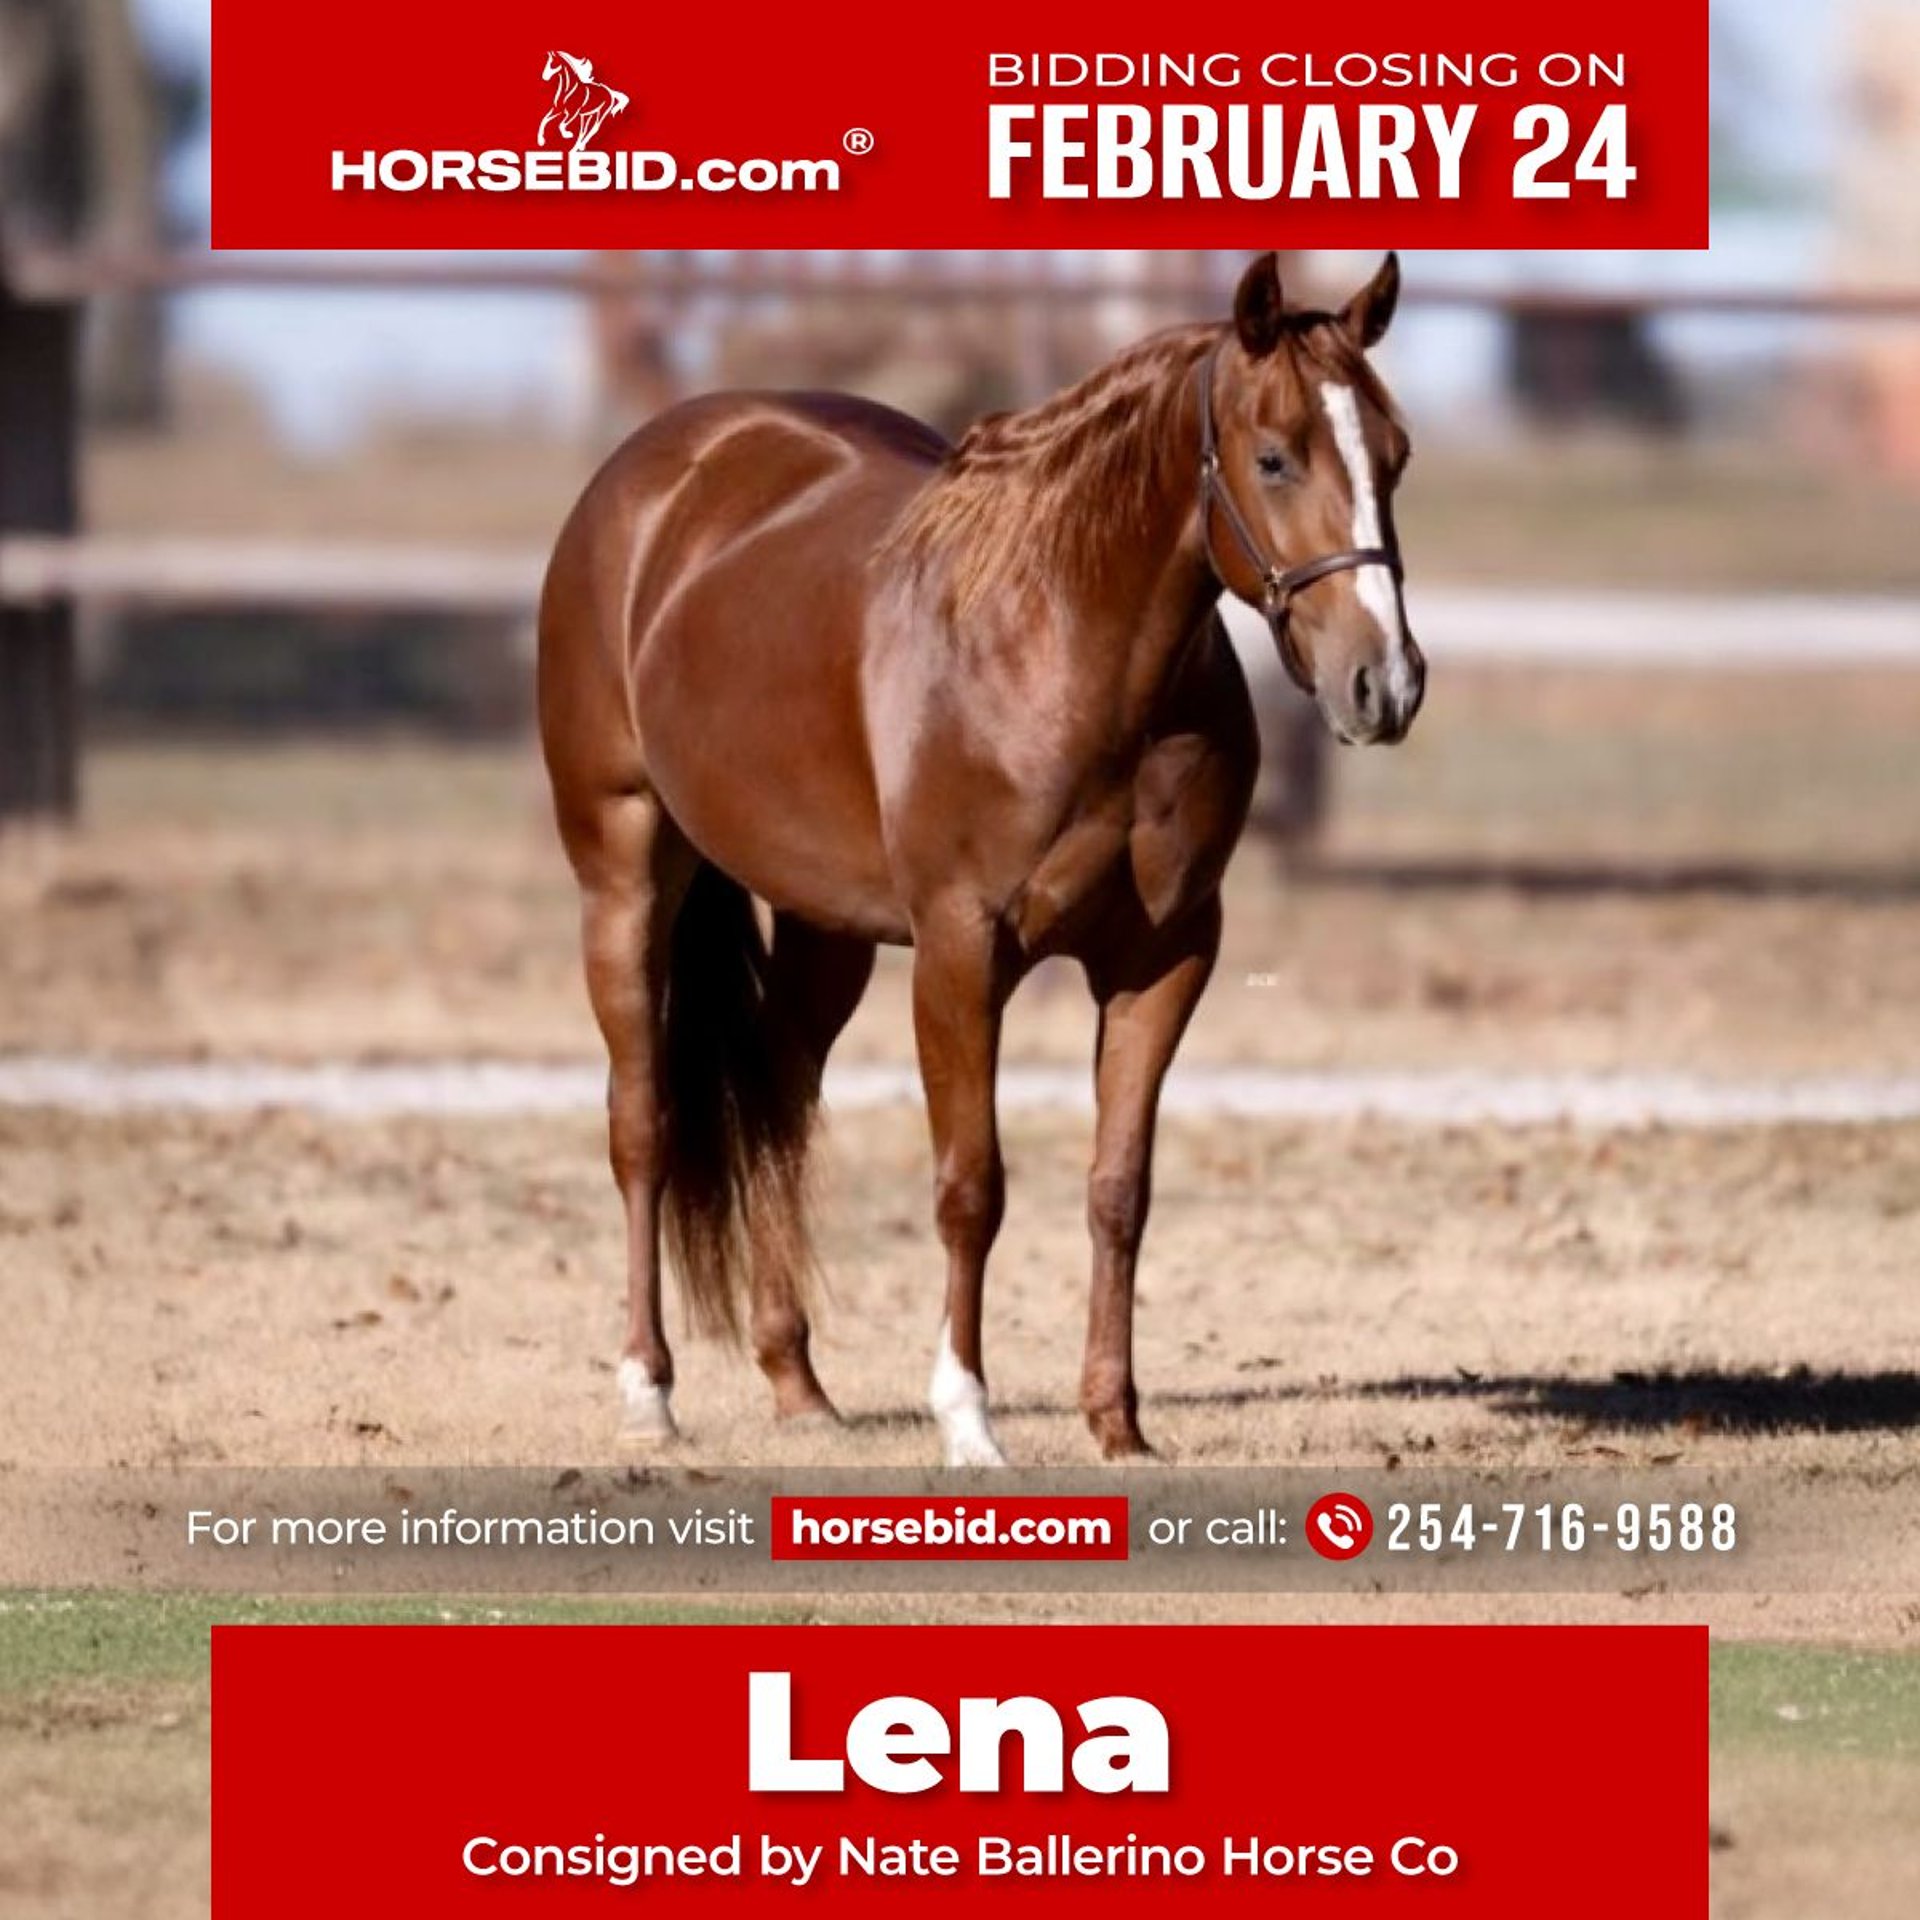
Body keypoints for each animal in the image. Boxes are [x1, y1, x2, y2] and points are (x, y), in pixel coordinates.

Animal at [538, 251, 1424, 1466]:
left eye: (1396, 454)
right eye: (1275, 456)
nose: (1385, 685)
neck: (1061, 645)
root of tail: (655, 470)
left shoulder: (1165, 960)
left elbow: (1119, 1187)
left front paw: (1117, 1422)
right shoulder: (961, 952)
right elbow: (973, 1186)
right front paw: (966, 1415)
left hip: (823, 927)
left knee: (778, 1100)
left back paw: (797, 1384)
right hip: (623, 873)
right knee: (644, 1126)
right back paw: (649, 1392)